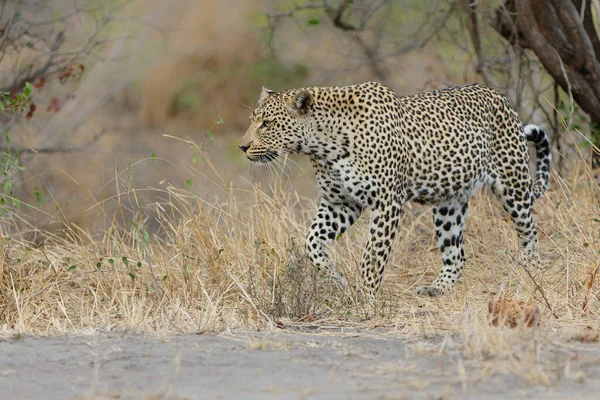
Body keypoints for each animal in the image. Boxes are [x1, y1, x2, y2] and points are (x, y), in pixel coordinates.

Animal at [237, 82, 552, 300]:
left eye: (267, 123)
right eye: (253, 119)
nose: (242, 146)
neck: (322, 147)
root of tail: (500, 96)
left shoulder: (386, 202)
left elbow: (372, 257)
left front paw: (366, 300)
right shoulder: (340, 203)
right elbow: (311, 243)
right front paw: (336, 280)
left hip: (513, 184)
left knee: (530, 233)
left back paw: (534, 275)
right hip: (448, 202)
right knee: (456, 253)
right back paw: (438, 288)